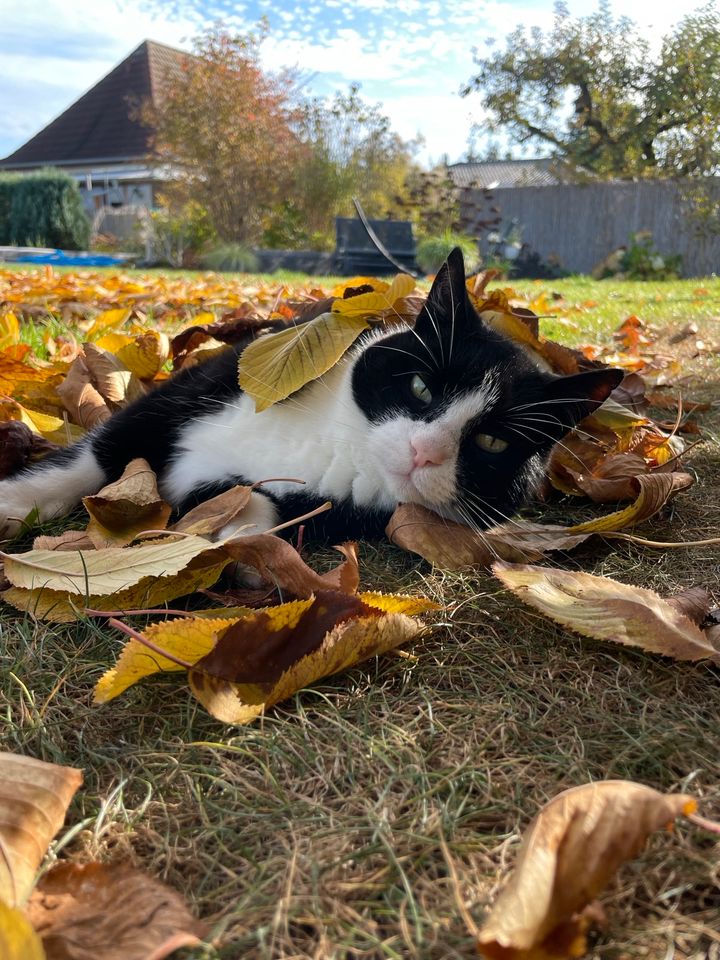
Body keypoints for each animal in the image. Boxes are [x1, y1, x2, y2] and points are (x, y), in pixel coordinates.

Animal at [0, 248, 620, 544]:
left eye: (491, 443)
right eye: (421, 387)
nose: (424, 453)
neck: (335, 440)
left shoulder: (333, 509)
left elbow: (245, 497)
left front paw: (243, 534)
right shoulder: (198, 387)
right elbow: (97, 455)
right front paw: (13, 501)